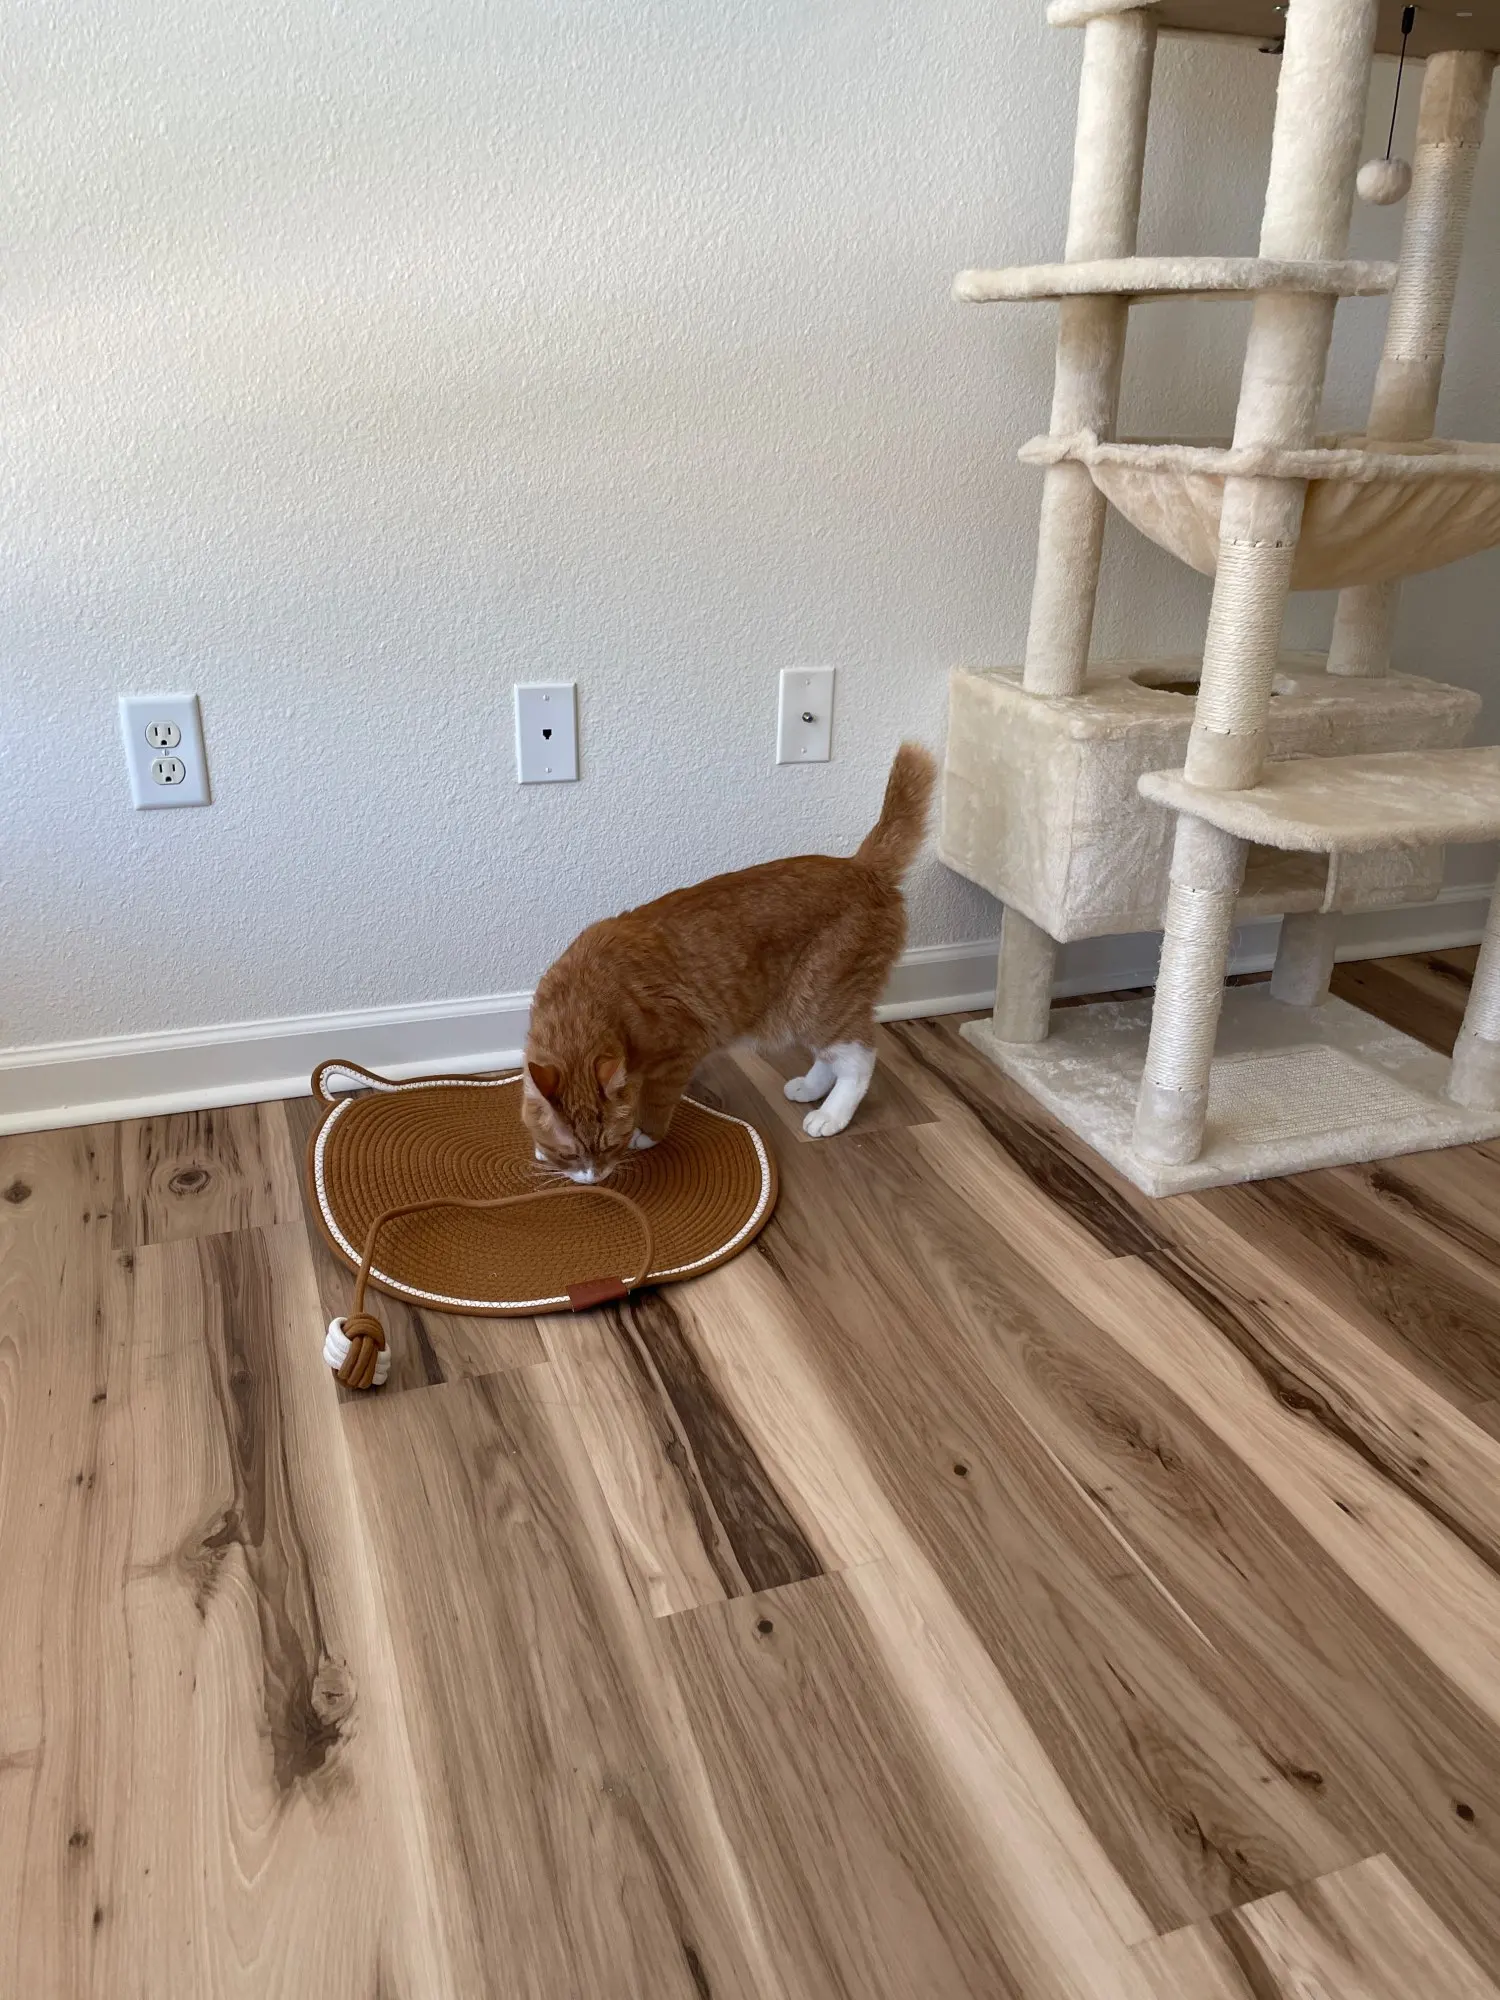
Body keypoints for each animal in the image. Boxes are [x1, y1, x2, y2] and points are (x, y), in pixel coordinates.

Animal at [521, 741, 936, 1182]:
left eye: (608, 1146)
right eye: (568, 1153)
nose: (594, 1177)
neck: (585, 997)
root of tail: (861, 866)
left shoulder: (681, 1048)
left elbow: (658, 1100)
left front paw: (647, 1134)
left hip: (818, 1001)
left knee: (860, 1058)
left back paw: (831, 1115)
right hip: (811, 1009)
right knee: (833, 1056)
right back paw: (810, 1089)